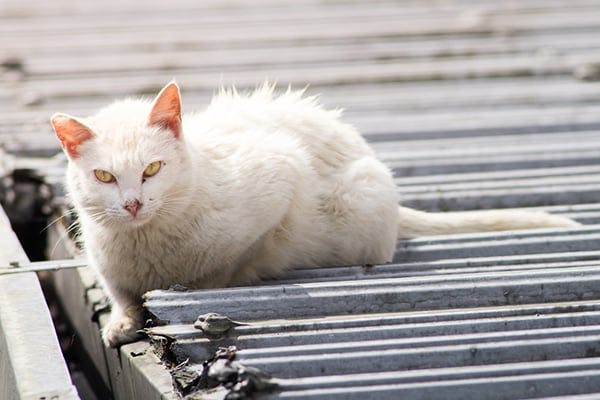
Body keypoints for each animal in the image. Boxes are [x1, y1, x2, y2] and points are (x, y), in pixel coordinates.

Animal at [50, 81, 576, 346]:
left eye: (153, 169)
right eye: (104, 177)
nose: (133, 203)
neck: (149, 241)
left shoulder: (281, 176)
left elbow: (230, 265)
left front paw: (199, 286)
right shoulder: (106, 261)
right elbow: (121, 293)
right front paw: (122, 322)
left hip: (362, 194)